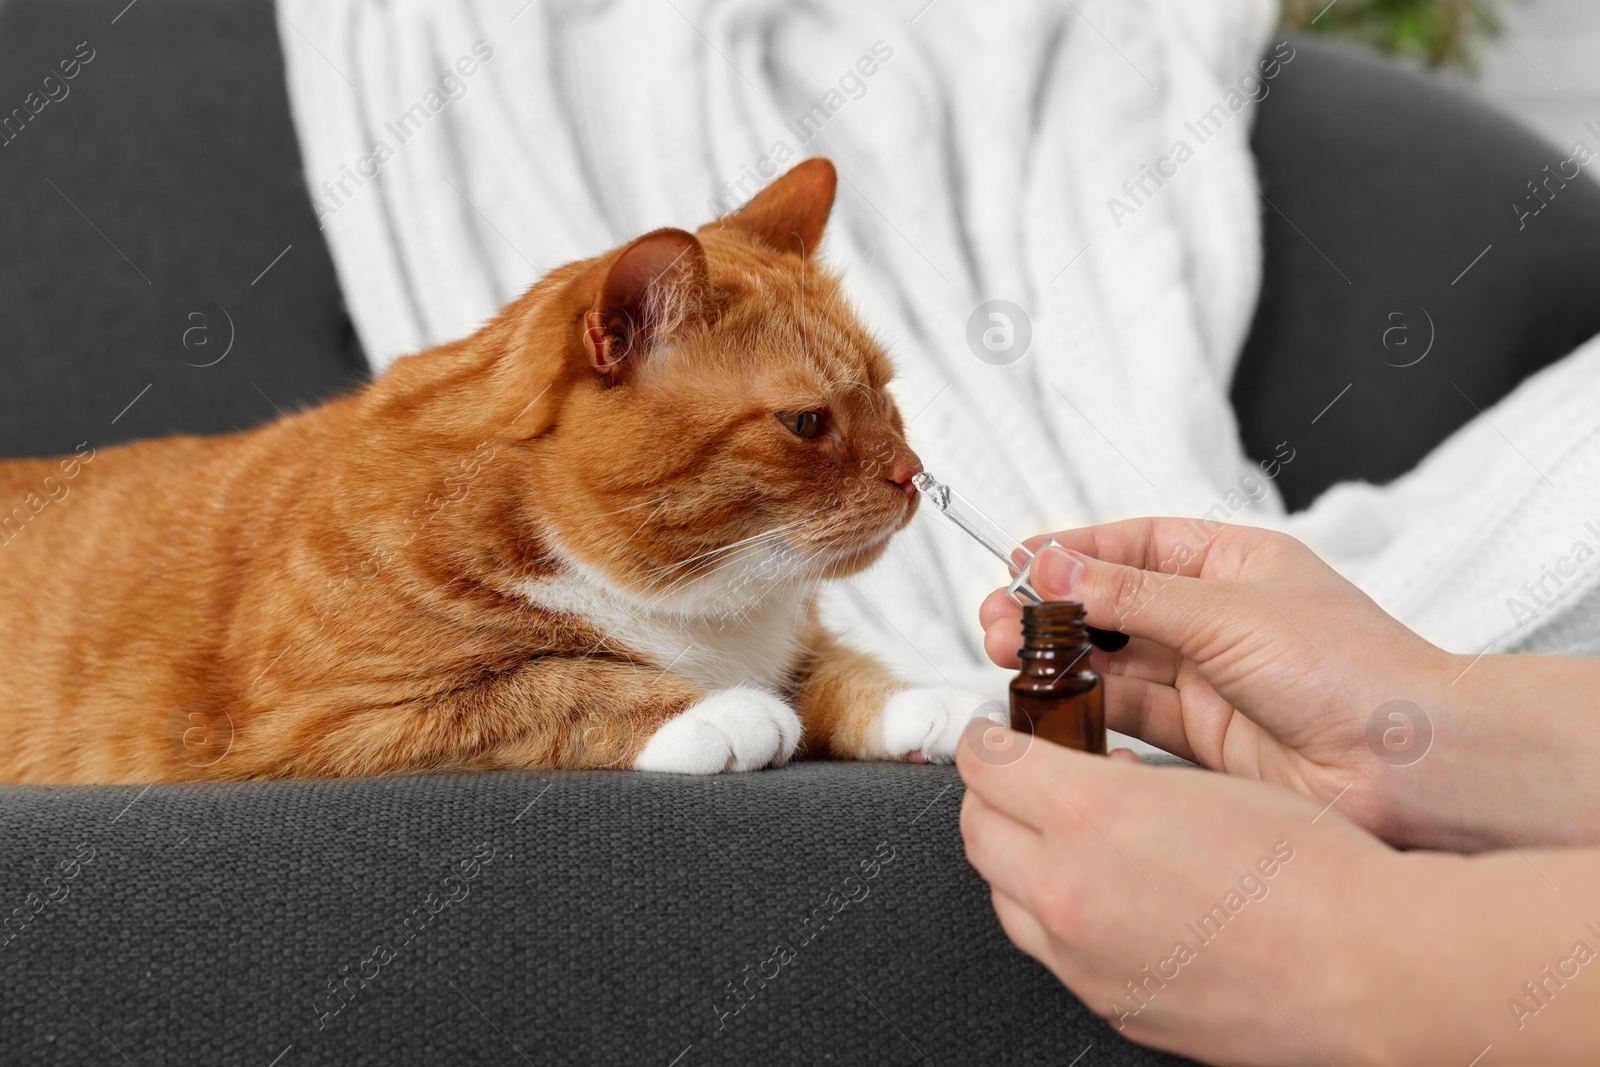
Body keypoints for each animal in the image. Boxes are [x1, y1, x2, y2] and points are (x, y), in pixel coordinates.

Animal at [0, 163, 992, 790]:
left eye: (886, 394)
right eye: (807, 423)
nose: (913, 474)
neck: (708, 611)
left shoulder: (796, 643)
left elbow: (844, 669)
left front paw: (937, 700)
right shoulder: (337, 712)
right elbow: (552, 681)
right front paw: (720, 712)